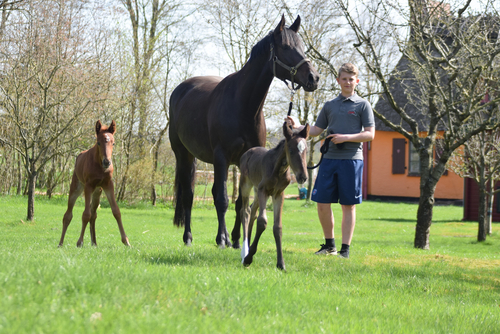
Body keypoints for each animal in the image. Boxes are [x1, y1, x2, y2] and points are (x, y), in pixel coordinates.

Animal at [58, 120, 131, 248]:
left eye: (113, 143)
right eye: (98, 143)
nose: (107, 162)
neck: (100, 166)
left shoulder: (108, 185)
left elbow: (116, 211)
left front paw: (126, 241)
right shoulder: (88, 186)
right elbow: (85, 214)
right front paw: (80, 242)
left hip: (97, 192)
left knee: (93, 215)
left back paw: (94, 243)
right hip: (76, 188)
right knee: (68, 215)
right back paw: (60, 243)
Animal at [167, 14, 316, 247]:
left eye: (302, 46)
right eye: (285, 47)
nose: (313, 77)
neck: (244, 106)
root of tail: (180, 90)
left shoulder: (244, 158)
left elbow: (240, 201)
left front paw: (237, 239)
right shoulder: (221, 158)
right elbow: (222, 199)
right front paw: (222, 238)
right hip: (184, 155)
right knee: (189, 196)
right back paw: (188, 237)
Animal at [238, 121, 308, 270]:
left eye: (305, 150)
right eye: (291, 150)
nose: (303, 177)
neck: (279, 170)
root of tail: (247, 152)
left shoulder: (278, 194)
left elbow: (277, 227)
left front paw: (281, 263)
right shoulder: (263, 190)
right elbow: (262, 221)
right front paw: (248, 258)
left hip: (256, 190)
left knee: (252, 211)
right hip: (246, 185)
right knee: (245, 212)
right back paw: (244, 251)